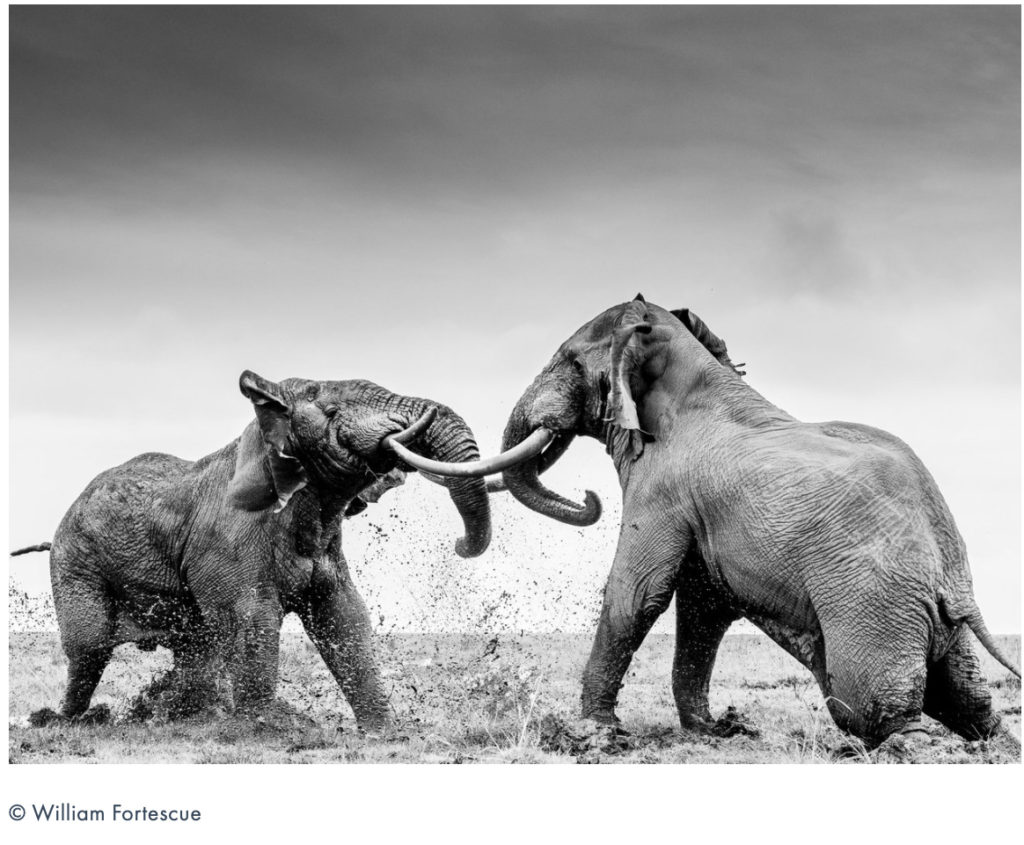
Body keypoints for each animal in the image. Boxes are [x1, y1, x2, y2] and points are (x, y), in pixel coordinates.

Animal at [14, 372, 493, 729]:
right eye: (332, 411)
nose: (459, 544)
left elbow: (345, 616)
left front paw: (384, 732)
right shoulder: (229, 539)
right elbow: (252, 619)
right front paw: (263, 729)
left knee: (194, 647)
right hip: (75, 562)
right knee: (90, 647)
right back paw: (64, 720)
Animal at [403, 292, 1019, 749]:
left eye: (569, 362)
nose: (588, 494)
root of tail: (955, 578)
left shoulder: (663, 490)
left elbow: (638, 592)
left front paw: (594, 732)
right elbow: (702, 607)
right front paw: (713, 730)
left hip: (872, 599)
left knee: (866, 703)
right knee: (968, 699)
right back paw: (993, 743)